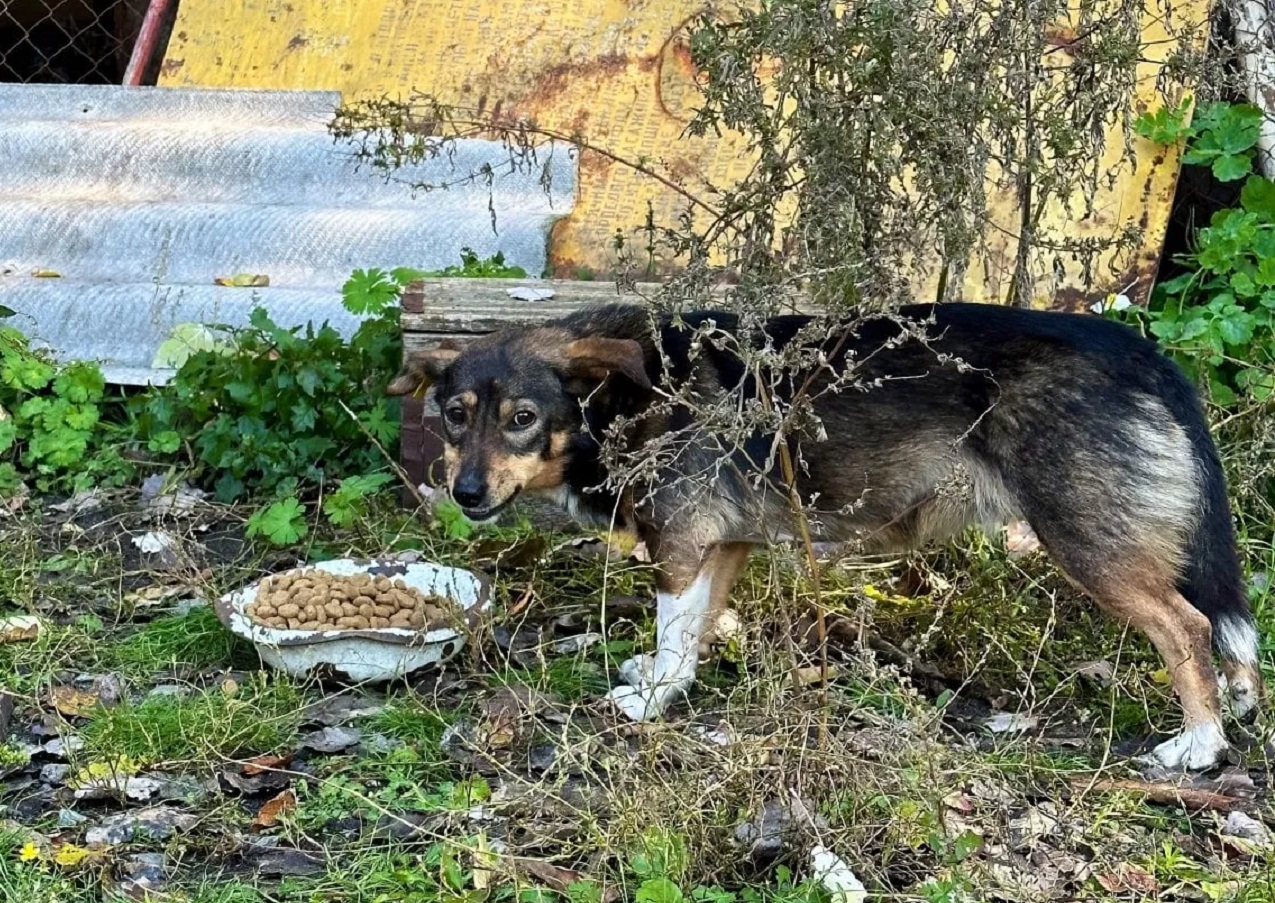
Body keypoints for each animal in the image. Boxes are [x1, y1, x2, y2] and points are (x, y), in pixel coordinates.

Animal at [387, 303, 1264, 770]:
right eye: (455, 415)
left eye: (521, 419)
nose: (465, 494)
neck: (621, 397)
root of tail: (1142, 353)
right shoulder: (723, 546)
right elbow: (694, 629)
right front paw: (671, 682)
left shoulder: (679, 545)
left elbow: (673, 629)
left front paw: (651, 700)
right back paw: (1243, 708)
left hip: (1087, 543)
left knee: (1186, 628)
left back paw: (1198, 745)